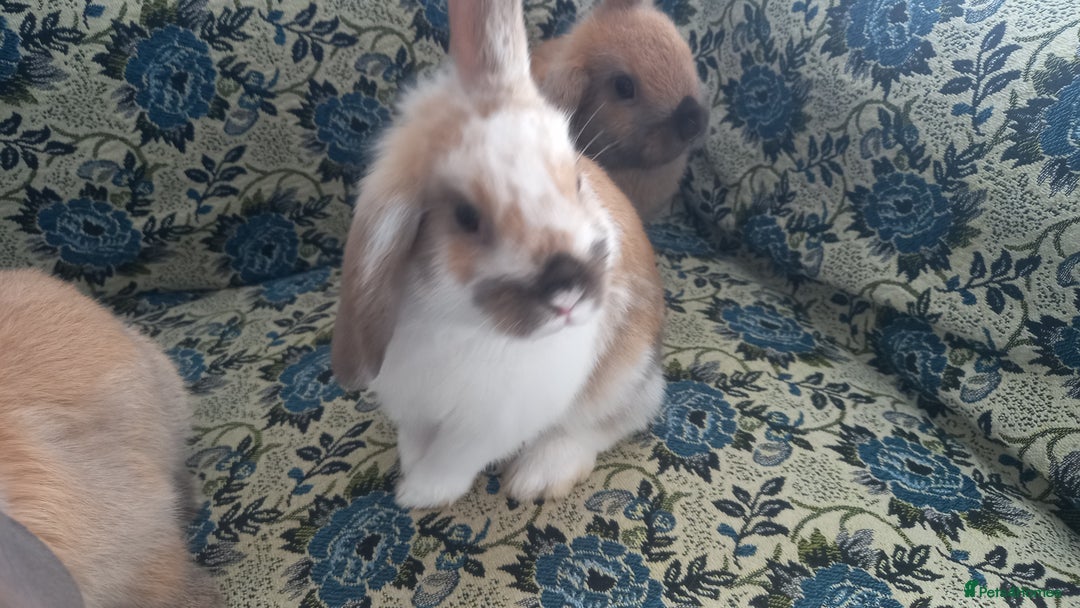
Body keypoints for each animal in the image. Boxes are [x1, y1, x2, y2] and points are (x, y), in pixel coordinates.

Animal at [331, 0, 666, 509]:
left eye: (576, 182)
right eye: (466, 216)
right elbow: (415, 440)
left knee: (608, 424)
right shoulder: (414, 402)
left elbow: (454, 458)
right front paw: (410, 471)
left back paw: (539, 476)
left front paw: (417, 493)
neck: (459, 320)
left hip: (622, 376)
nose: (569, 294)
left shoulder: (492, 421)